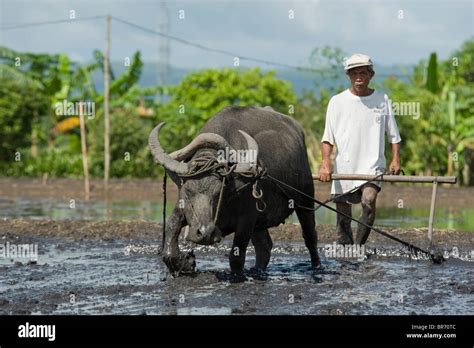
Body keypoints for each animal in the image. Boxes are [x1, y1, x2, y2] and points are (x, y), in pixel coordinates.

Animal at [150, 104, 320, 276]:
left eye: (218, 193)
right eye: (188, 191)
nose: (204, 233)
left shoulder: (247, 219)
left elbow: (236, 256)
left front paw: (237, 275)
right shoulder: (182, 208)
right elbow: (170, 234)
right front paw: (185, 264)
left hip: (306, 198)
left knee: (310, 236)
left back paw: (317, 267)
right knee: (264, 245)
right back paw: (257, 270)